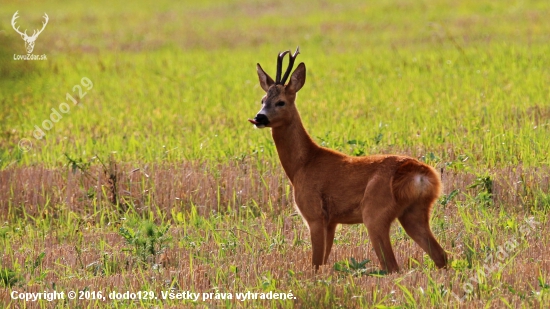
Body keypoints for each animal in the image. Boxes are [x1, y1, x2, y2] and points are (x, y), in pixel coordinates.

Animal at [250, 47, 448, 270]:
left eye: (280, 102)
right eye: (262, 100)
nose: (259, 117)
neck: (303, 164)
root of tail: (421, 174)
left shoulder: (314, 214)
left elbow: (315, 265)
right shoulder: (331, 221)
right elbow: (323, 263)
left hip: (375, 212)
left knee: (392, 266)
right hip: (414, 212)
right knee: (441, 255)